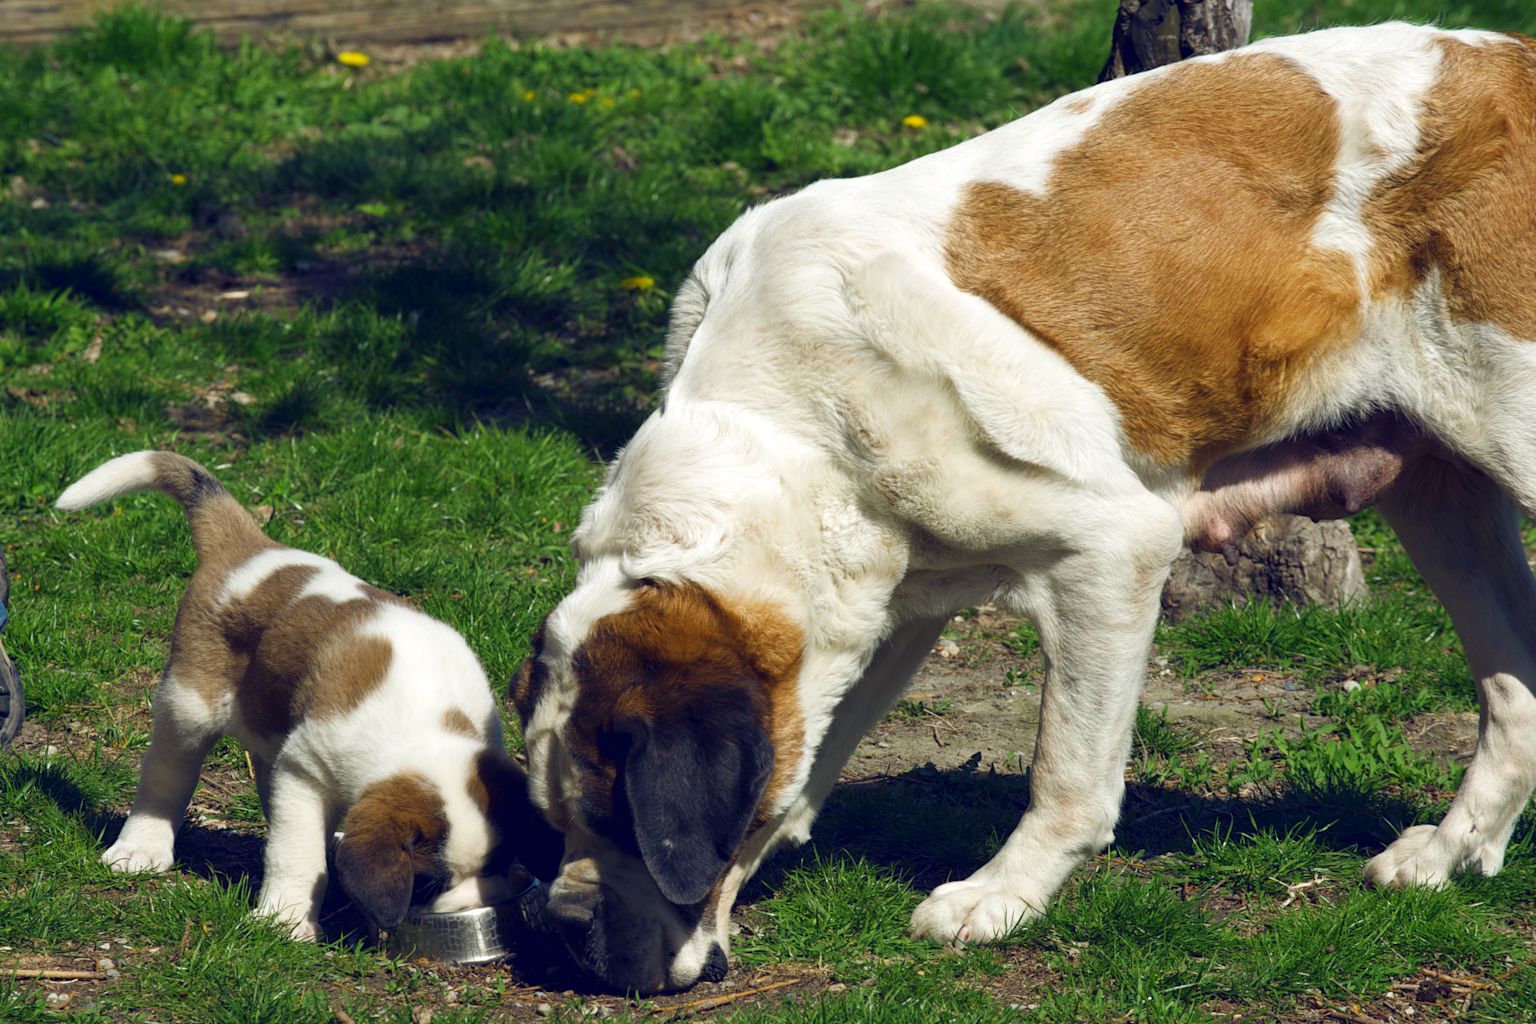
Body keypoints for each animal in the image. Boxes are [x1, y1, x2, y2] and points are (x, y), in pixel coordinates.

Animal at [62, 451, 565, 939]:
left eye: (502, 861)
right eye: (428, 884)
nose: (480, 903)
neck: (429, 728)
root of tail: (250, 548)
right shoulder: (305, 772)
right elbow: (297, 854)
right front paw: (284, 920)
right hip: (190, 703)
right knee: (167, 774)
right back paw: (141, 845)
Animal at [509, 22, 1536, 994]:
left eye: (622, 822)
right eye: (559, 820)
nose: (560, 929)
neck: (792, 423)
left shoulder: (1113, 549)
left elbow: (1066, 769)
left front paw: (998, 897)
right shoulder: (881, 601)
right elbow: (809, 760)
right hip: (1442, 491)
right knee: (1514, 684)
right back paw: (1451, 853)